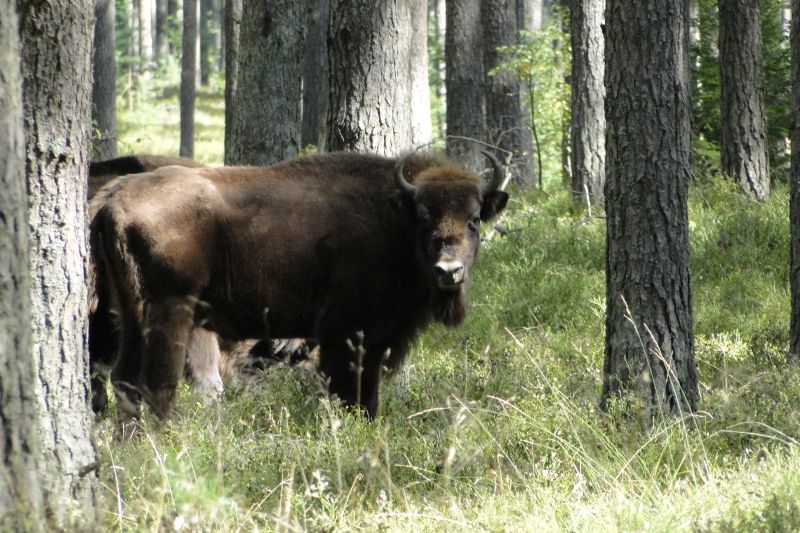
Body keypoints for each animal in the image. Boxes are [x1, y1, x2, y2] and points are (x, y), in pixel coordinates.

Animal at [92, 151, 506, 420]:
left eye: (473, 219)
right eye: (423, 215)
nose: (448, 270)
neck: (393, 217)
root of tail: (112, 198)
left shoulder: (376, 339)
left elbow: (368, 397)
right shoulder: (343, 331)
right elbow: (346, 391)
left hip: (131, 313)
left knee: (123, 379)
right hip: (170, 311)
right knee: (157, 385)